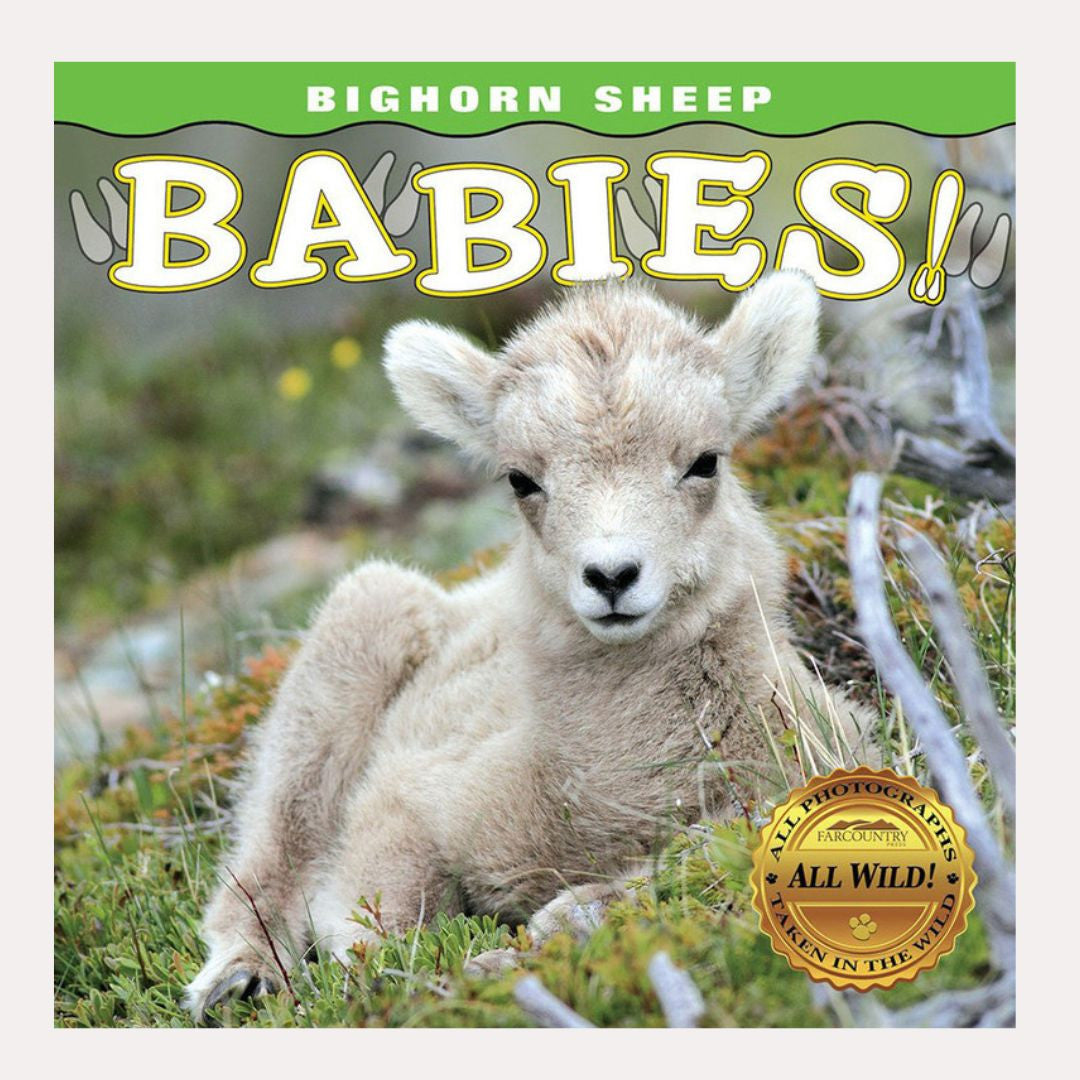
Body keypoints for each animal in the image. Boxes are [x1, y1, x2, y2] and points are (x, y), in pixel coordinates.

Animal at [184, 270, 877, 1020]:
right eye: (521, 479)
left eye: (704, 462)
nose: (611, 576)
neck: (607, 787)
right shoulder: (405, 803)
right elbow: (373, 922)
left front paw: (568, 916)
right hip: (355, 638)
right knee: (269, 858)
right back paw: (237, 979)